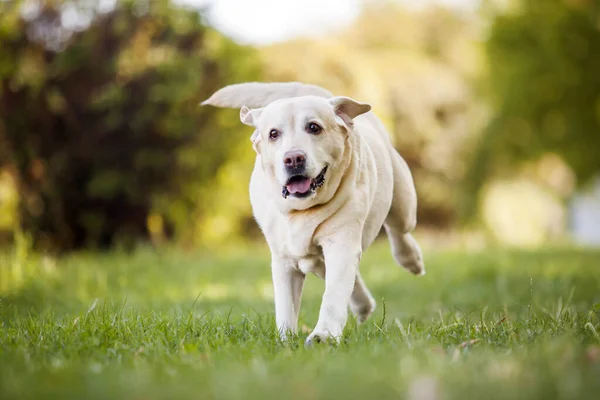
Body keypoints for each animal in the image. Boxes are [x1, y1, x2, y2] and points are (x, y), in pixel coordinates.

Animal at [202, 82, 422, 344]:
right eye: (273, 134)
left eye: (314, 127)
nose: (293, 158)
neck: (301, 211)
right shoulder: (284, 260)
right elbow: (286, 305)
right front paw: (286, 340)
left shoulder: (341, 244)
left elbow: (334, 294)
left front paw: (323, 335)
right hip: (314, 260)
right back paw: (362, 305)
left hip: (402, 199)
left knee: (399, 228)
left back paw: (411, 259)